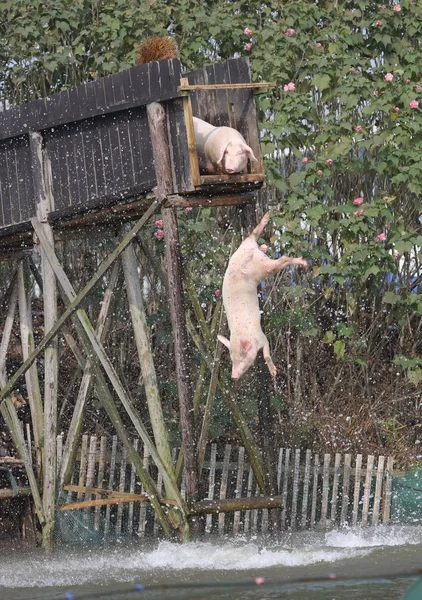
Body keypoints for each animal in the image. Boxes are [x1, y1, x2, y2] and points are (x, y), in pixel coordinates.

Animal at [218, 212, 306, 380]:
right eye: (232, 358)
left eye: (242, 357)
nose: (233, 376)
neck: (243, 334)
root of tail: (248, 251)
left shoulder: (261, 336)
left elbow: (266, 353)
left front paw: (274, 373)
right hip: (249, 249)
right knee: (253, 235)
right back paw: (266, 221)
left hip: (261, 269)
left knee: (282, 259)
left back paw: (304, 263)